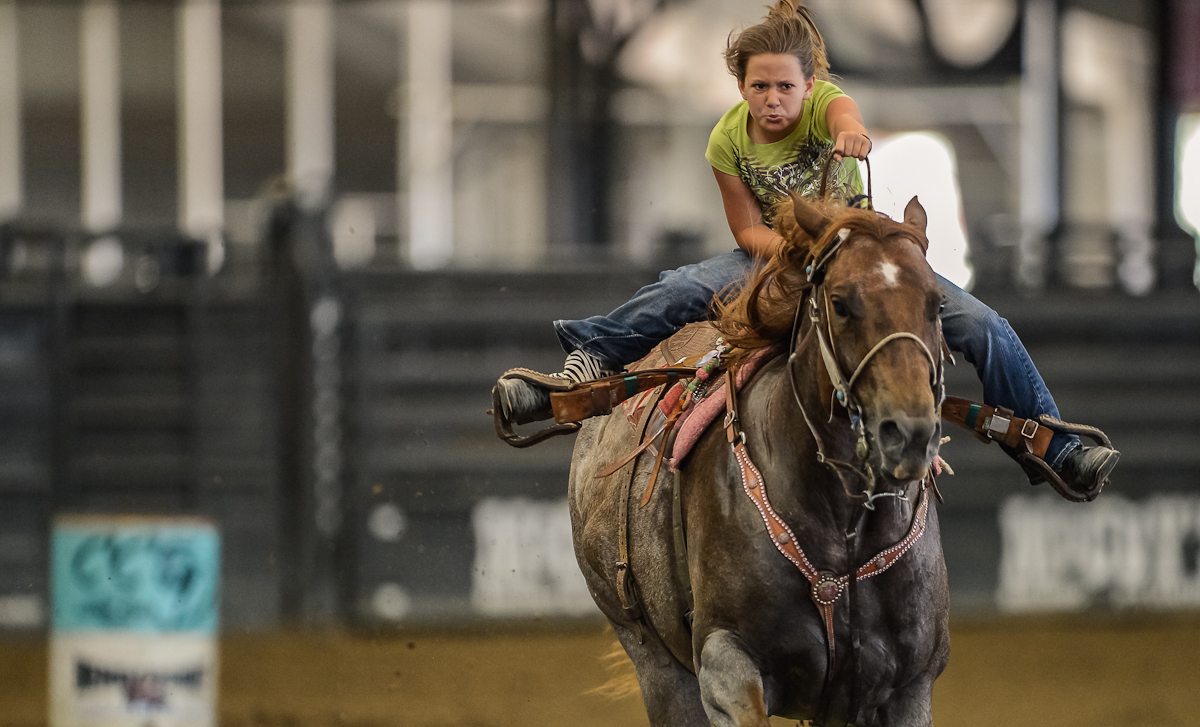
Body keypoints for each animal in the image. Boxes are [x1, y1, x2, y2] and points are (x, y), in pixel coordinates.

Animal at [566, 195, 950, 727]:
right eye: (840, 302)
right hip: (653, 659)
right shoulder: (726, 664)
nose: (909, 433)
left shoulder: (911, 684)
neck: (842, 521)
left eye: (938, 305)